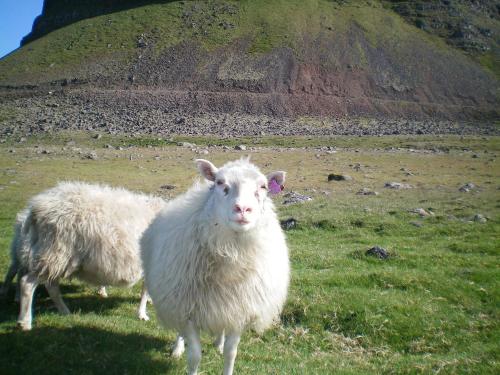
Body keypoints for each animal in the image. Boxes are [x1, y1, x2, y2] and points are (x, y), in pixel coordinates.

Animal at [4, 183, 164, 332]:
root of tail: (35, 209)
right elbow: (145, 291)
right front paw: (142, 314)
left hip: (53, 257)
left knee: (50, 286)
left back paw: (64, 311)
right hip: (54, 253)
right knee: (27, 283)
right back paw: (24, 322)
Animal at [141, 159, 290, 375]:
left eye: (263, 187)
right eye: (220, 182)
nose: (243, 208)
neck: (231, 255)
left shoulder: (239, 310)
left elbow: (231, 353)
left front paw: (225, 354)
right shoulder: (187, 310)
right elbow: (194, 356)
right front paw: (186, 357)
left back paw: (218, 343)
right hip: (176, 299)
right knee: (180, 332)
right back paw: (177, 348)